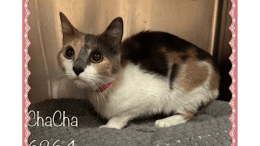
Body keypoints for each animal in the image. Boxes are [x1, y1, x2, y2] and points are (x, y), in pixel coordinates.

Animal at [57, 12, 219, 129]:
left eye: (97, 56)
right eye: (69, 53)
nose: (77, 68)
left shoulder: (151, 96)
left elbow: (121, 115)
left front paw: (109, 126)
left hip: (184, 93)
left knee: (189, 113)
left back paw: (165, 121)